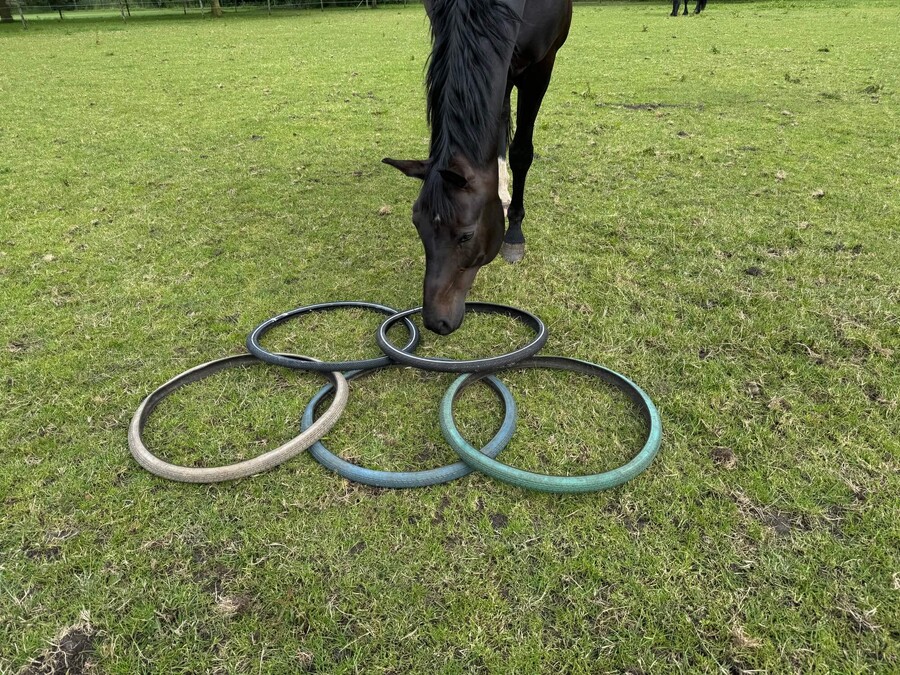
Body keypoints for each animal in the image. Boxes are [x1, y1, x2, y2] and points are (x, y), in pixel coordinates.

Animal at [382, 0, 568, 336]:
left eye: (466, 236)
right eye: (417, 225)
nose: (436, 322)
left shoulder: (541, 65)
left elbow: (521, 150)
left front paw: (514, 233)